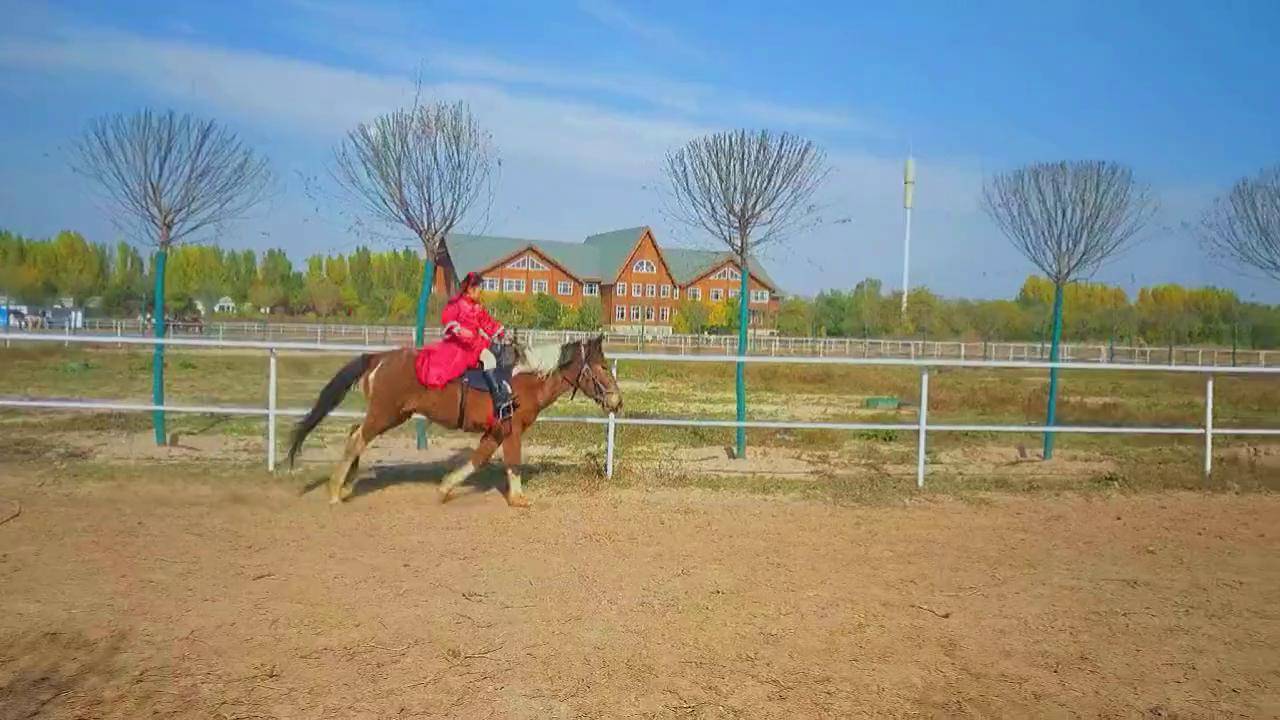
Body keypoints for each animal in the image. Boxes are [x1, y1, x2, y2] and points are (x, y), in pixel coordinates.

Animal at [287, 335, 623, 508]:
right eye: (604, 366)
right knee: (358, 439)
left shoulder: (494, 431)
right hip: (385, 414)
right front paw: (518, 498)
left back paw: (346, 486)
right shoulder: (512, 429)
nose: (617, 401)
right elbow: (512, 462)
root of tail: (378, 358)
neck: (522, 379)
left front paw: (446, 488)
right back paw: (334, 491)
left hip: (388, 415)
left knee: (354, 435)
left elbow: (478, 459)